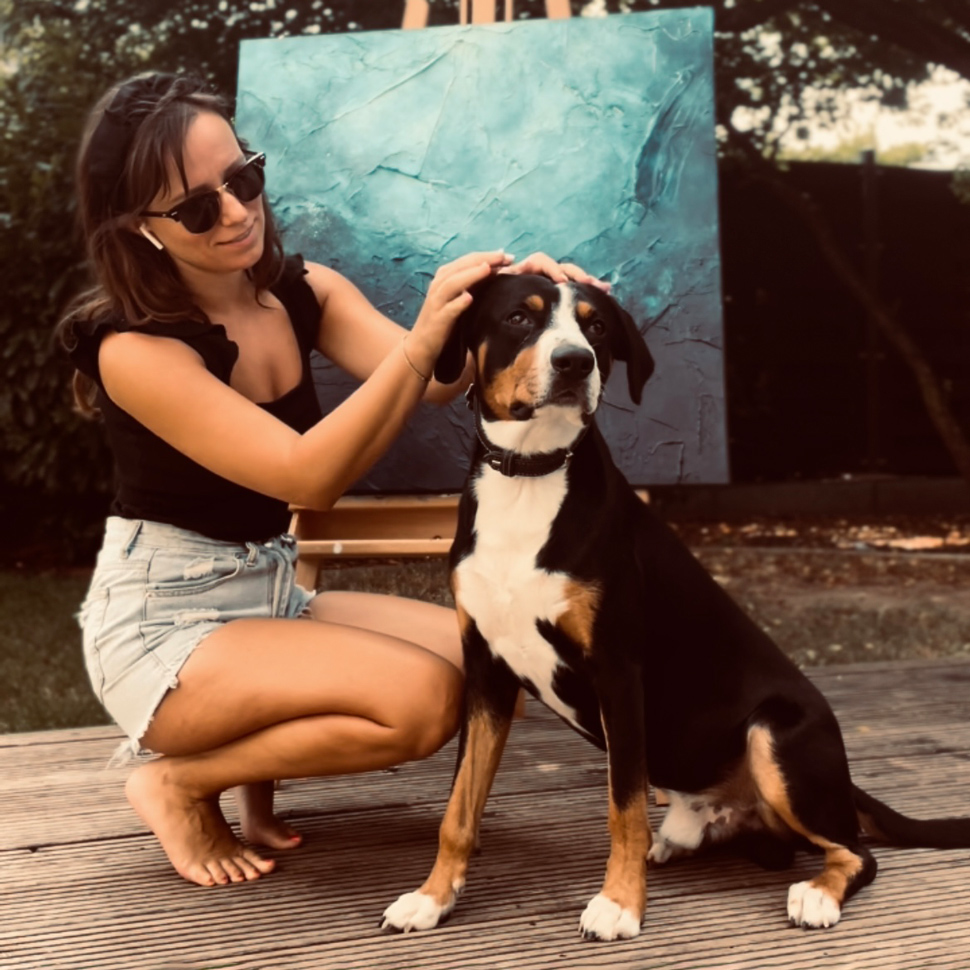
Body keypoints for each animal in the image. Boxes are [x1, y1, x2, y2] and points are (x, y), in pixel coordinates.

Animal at [381, 272, 970, 941]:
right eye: (519, 319)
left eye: (596, 325)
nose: (574, 361)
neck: (530, 478)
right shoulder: (486, 672)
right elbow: (459, 806)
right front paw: (431, 897)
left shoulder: (616, 671)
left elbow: (623, 807)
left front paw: (619, 903)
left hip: (774, 734)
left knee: (856, 852)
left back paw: (816, 894)